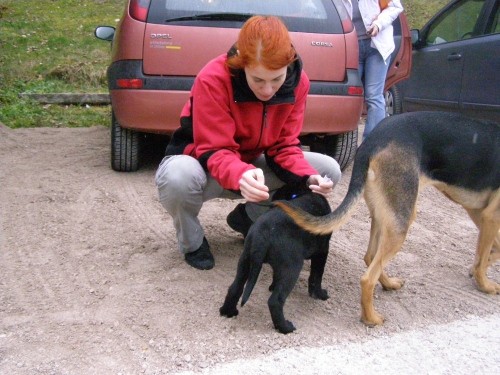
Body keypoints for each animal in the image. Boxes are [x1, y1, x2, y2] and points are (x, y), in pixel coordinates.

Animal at [220, 185, 332, 334]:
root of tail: (262, 235)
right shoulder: (322, 251)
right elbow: (316, 276)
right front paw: (320, 294)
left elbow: (275, 275)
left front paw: (272, 286)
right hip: (292, 267)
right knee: (275, 301)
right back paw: (285, 327)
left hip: (245, 260)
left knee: (234, 288)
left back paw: (228, 312)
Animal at [276, 111, 498, 326]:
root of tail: (371, 141)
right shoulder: (490, 215)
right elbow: (485, 254)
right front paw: (485, 284)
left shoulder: (478, 212)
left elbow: (489, 250)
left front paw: (476, 271)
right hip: (401, 219)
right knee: (368, 278)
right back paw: (371, 319)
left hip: (383, 214)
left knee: (370, 256)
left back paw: (388, 284)